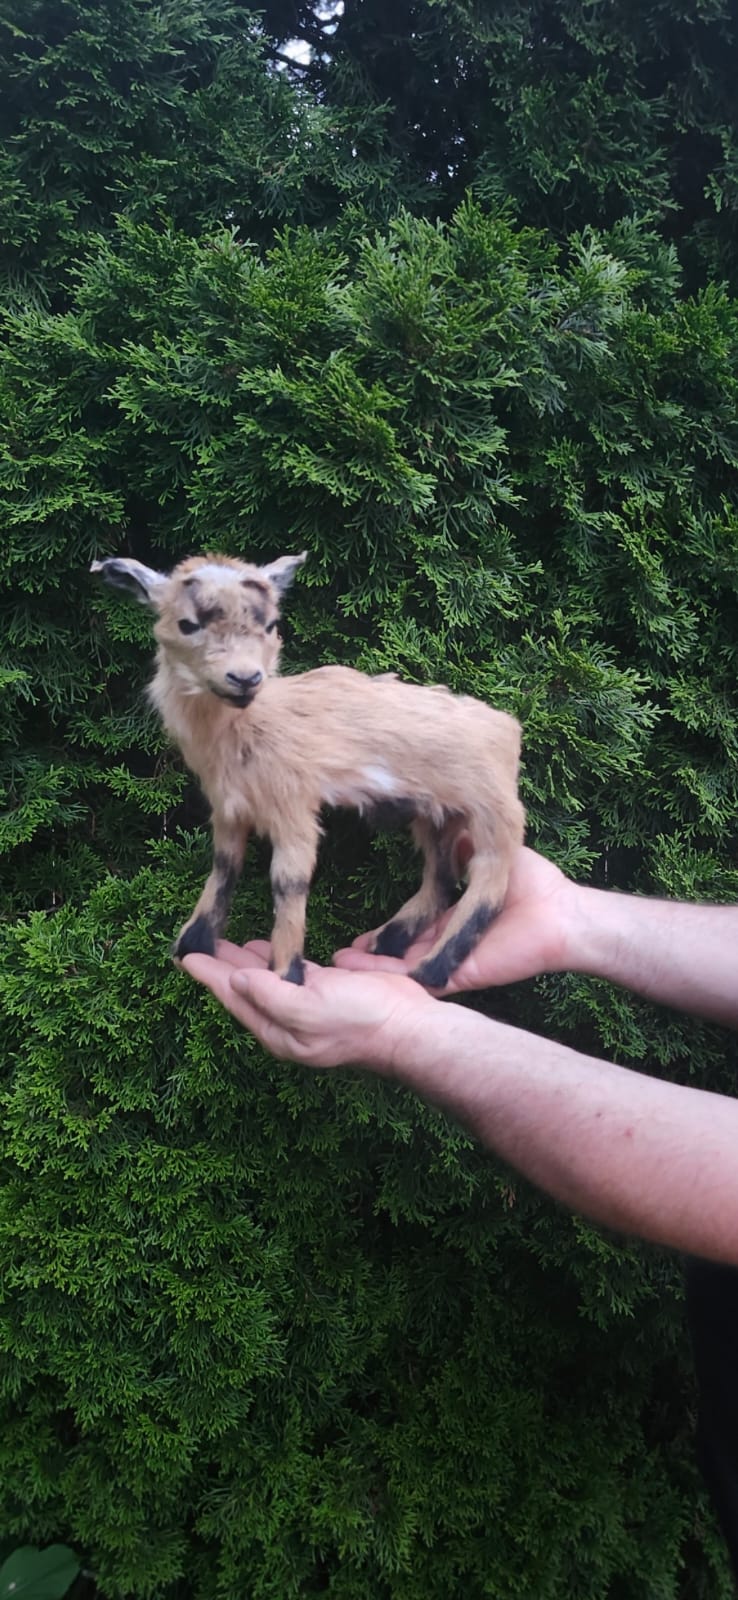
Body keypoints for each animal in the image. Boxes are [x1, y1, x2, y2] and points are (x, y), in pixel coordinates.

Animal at [91, 551, 525, 988]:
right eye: (188, 624)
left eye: (270, 625)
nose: (246, 678)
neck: (246, 725)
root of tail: (507, 727)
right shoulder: (228, 807)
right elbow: (224, 865)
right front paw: (192, 942)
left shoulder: (292, 804)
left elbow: (289, 881)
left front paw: (287, 971)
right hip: (438, 813)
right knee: (442, 876)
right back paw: (390, 940)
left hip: (494, 809)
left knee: (490, 880)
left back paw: (431, 969)